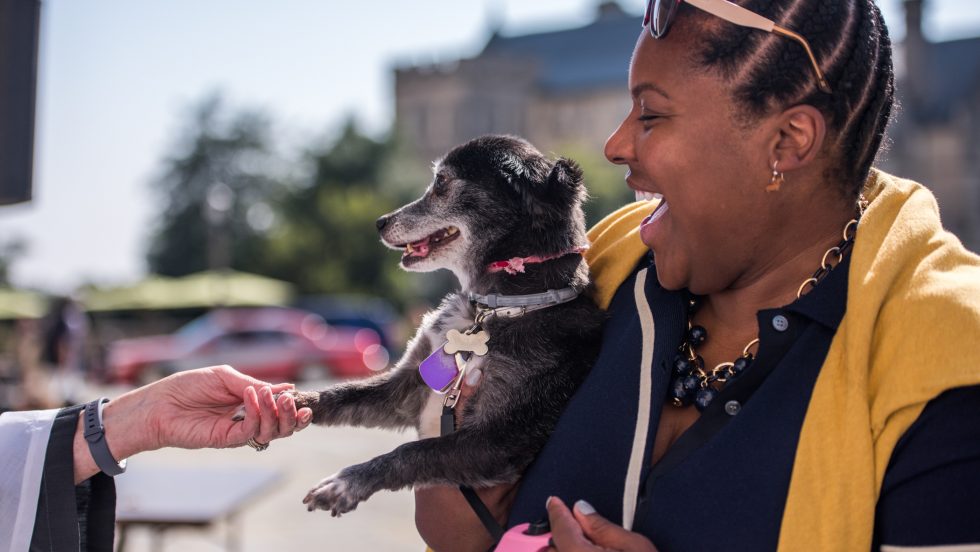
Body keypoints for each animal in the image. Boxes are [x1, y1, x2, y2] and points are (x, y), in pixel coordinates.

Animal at [290, 134, 604, 516]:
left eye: (441, 183)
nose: (379, 222)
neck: (496, 309)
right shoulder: (406, 388)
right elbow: (342, 394)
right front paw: (287, 401)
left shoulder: (497, 442)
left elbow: (412, 452)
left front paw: (346, 483)